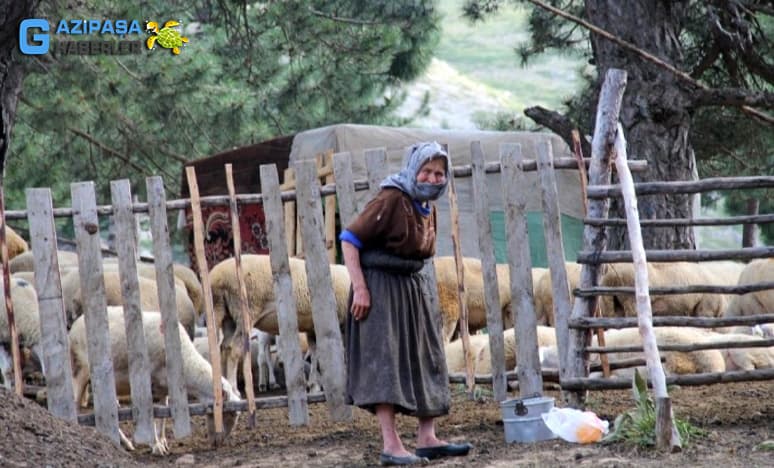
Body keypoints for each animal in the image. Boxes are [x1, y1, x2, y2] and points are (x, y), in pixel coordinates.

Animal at [69, 306, 241, 456]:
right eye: (229, 414)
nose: (219, 443)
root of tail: (74, 325)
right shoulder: (149, 385)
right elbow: (150, 414)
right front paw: (156, 445)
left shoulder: (163, 388)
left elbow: (162, 416)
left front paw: (162, 441)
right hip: (81, 370)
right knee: (77, 405)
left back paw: (125, 443)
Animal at [209, 254, 348, 394]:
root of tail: (217, 277)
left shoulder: (313, 328)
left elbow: (315, 355)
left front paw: (314, 385)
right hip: (246, 311)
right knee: (234, 349)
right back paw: (233, 388)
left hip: (225, 314)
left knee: (224, 348)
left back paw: (225, 386)